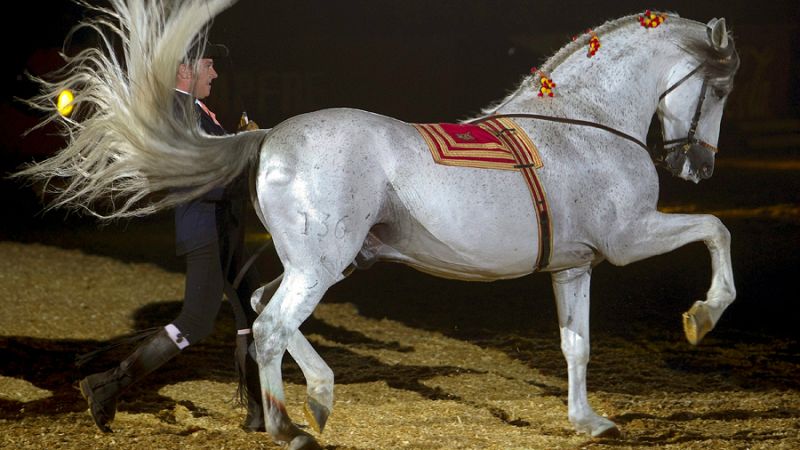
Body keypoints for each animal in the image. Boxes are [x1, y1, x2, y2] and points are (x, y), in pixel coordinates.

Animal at [14, 1, 739, 448]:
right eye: (722, 87)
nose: (699, 165)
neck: (586, 124)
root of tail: (270, 137)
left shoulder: (575, 264)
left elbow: (577, 346)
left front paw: (588, 420)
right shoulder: (628, 237)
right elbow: (714, 230)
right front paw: (701, 318)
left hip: (320, 261)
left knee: (262, 310)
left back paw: (298, 404)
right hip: (321, 264)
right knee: (272, 325)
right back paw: (293, 424)